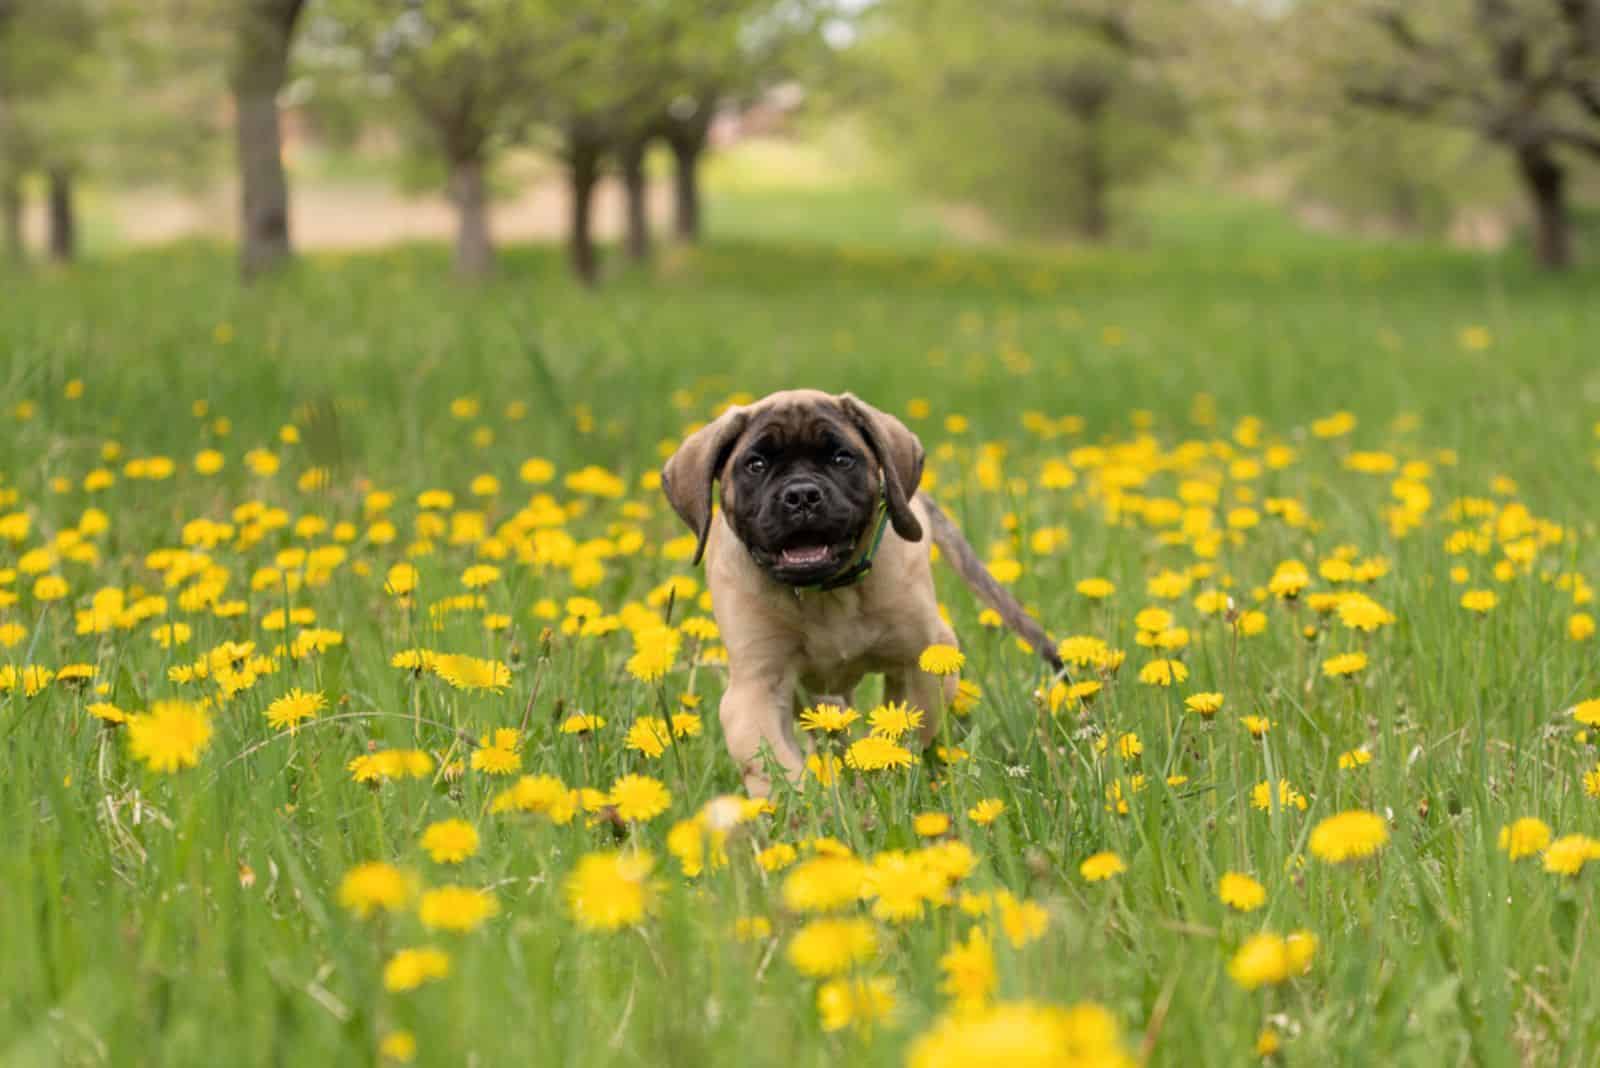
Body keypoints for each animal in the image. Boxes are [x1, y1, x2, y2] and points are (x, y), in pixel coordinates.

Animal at [662, 388, 1062, 796]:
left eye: (842, 459)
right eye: (755, 465)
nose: (801, 495)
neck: (825, 595)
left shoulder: (923, 658)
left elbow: (902, 731)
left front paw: (880, 780)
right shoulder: (756, 689)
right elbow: (777, 768)